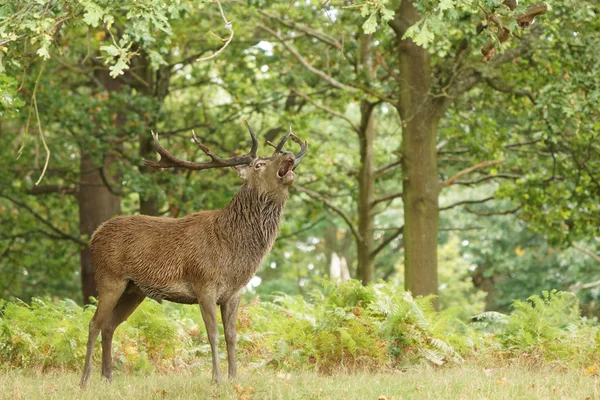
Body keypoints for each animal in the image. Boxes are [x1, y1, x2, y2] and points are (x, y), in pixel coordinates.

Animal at [79, 121, 308, 388]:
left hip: (133, 290)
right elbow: (213, 334)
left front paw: (234, 378)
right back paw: (85, 380)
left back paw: (107, 378)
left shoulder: (234, 293)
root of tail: (95, 235)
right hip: (109, 278)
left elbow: (232, 336)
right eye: (259, 164)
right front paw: (216, 379)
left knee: (109, 326)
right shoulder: (204, 284)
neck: (234, 251)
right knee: (93, 323)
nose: (289, 154)